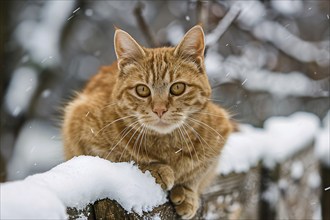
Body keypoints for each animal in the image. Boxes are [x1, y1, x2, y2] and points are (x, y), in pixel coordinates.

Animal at [62, 25, 232, 218]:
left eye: (177, 87)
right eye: (142, 90)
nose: (159, 109)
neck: (166, 146)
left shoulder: (221, 133)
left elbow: (200, 171)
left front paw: (188, 192)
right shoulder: (79, 127)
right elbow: (122, 158)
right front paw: (156, 169)